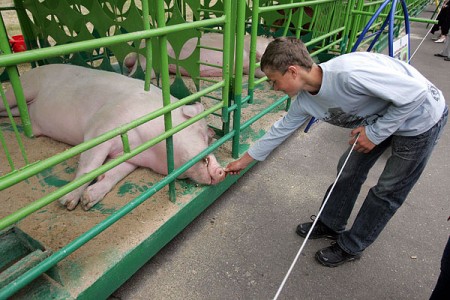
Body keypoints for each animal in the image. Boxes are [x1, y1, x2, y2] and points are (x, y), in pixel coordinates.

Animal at [2, 63, 229, 211]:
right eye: (204, 135)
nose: (221, 172)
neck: (149, 147)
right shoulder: (102, 126)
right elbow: (89, 167)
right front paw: (67, 203)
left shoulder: (130, 156)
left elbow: (114, 174)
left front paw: (88, 202)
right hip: (24, 88)